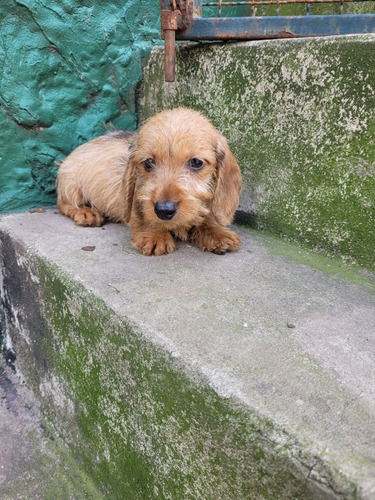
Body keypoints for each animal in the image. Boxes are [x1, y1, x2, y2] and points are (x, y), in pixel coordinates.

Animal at [56, 107, 244, 256]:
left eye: (196, 162)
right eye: (148, 162)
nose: (164, 210)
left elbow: (206, 217)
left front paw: (216, 232)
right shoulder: (138, 195)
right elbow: (144, 215)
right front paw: (155, 234)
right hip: (70, 182)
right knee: (63, 204)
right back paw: (86, 213)